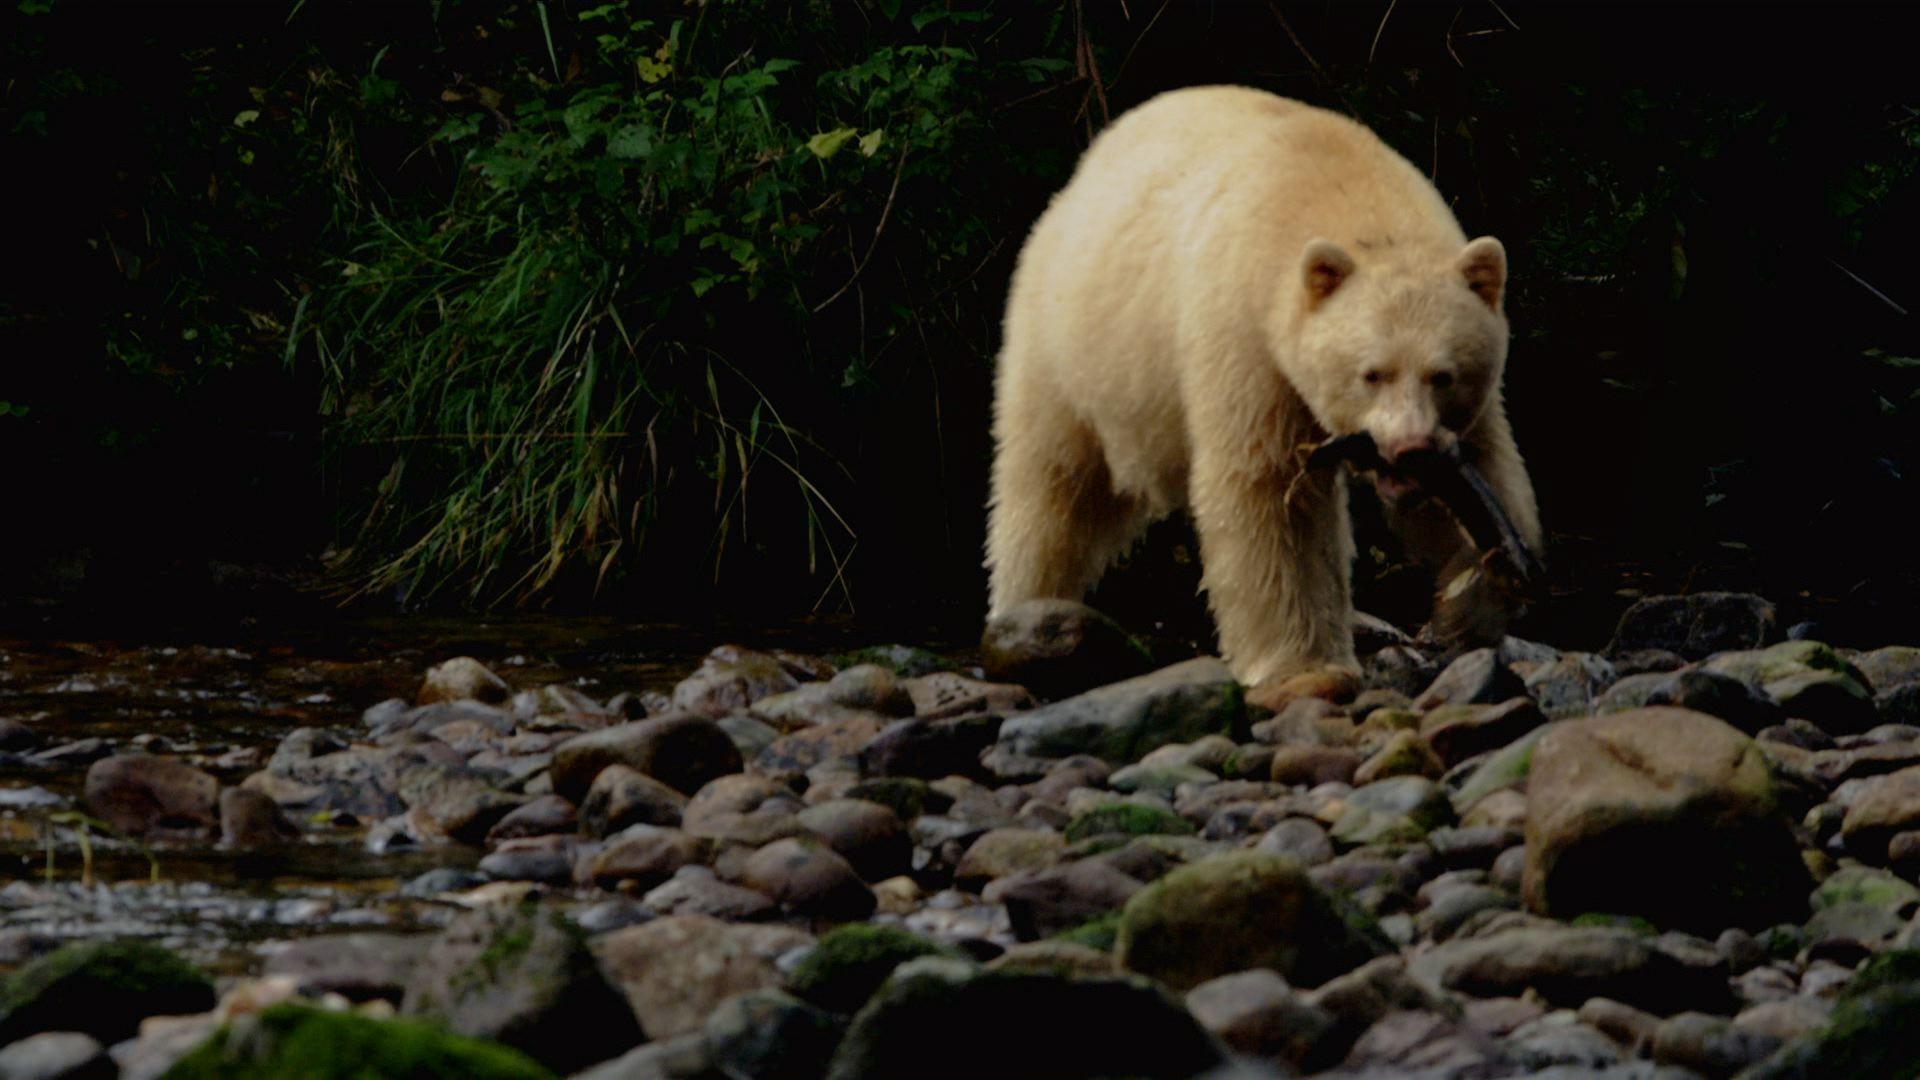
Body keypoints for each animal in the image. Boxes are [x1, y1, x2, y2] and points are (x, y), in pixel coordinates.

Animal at [990, 85, 1543, 687]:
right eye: (1371, 373)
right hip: (1073, 341)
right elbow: (1271, 493)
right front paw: (1305, 667)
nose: (1409, 447)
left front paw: (1477, 601)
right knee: (1052, 486)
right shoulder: (1247, 339)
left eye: (1443, 375)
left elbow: (1485, 472)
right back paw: (1025, 607)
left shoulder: (1470, 414)